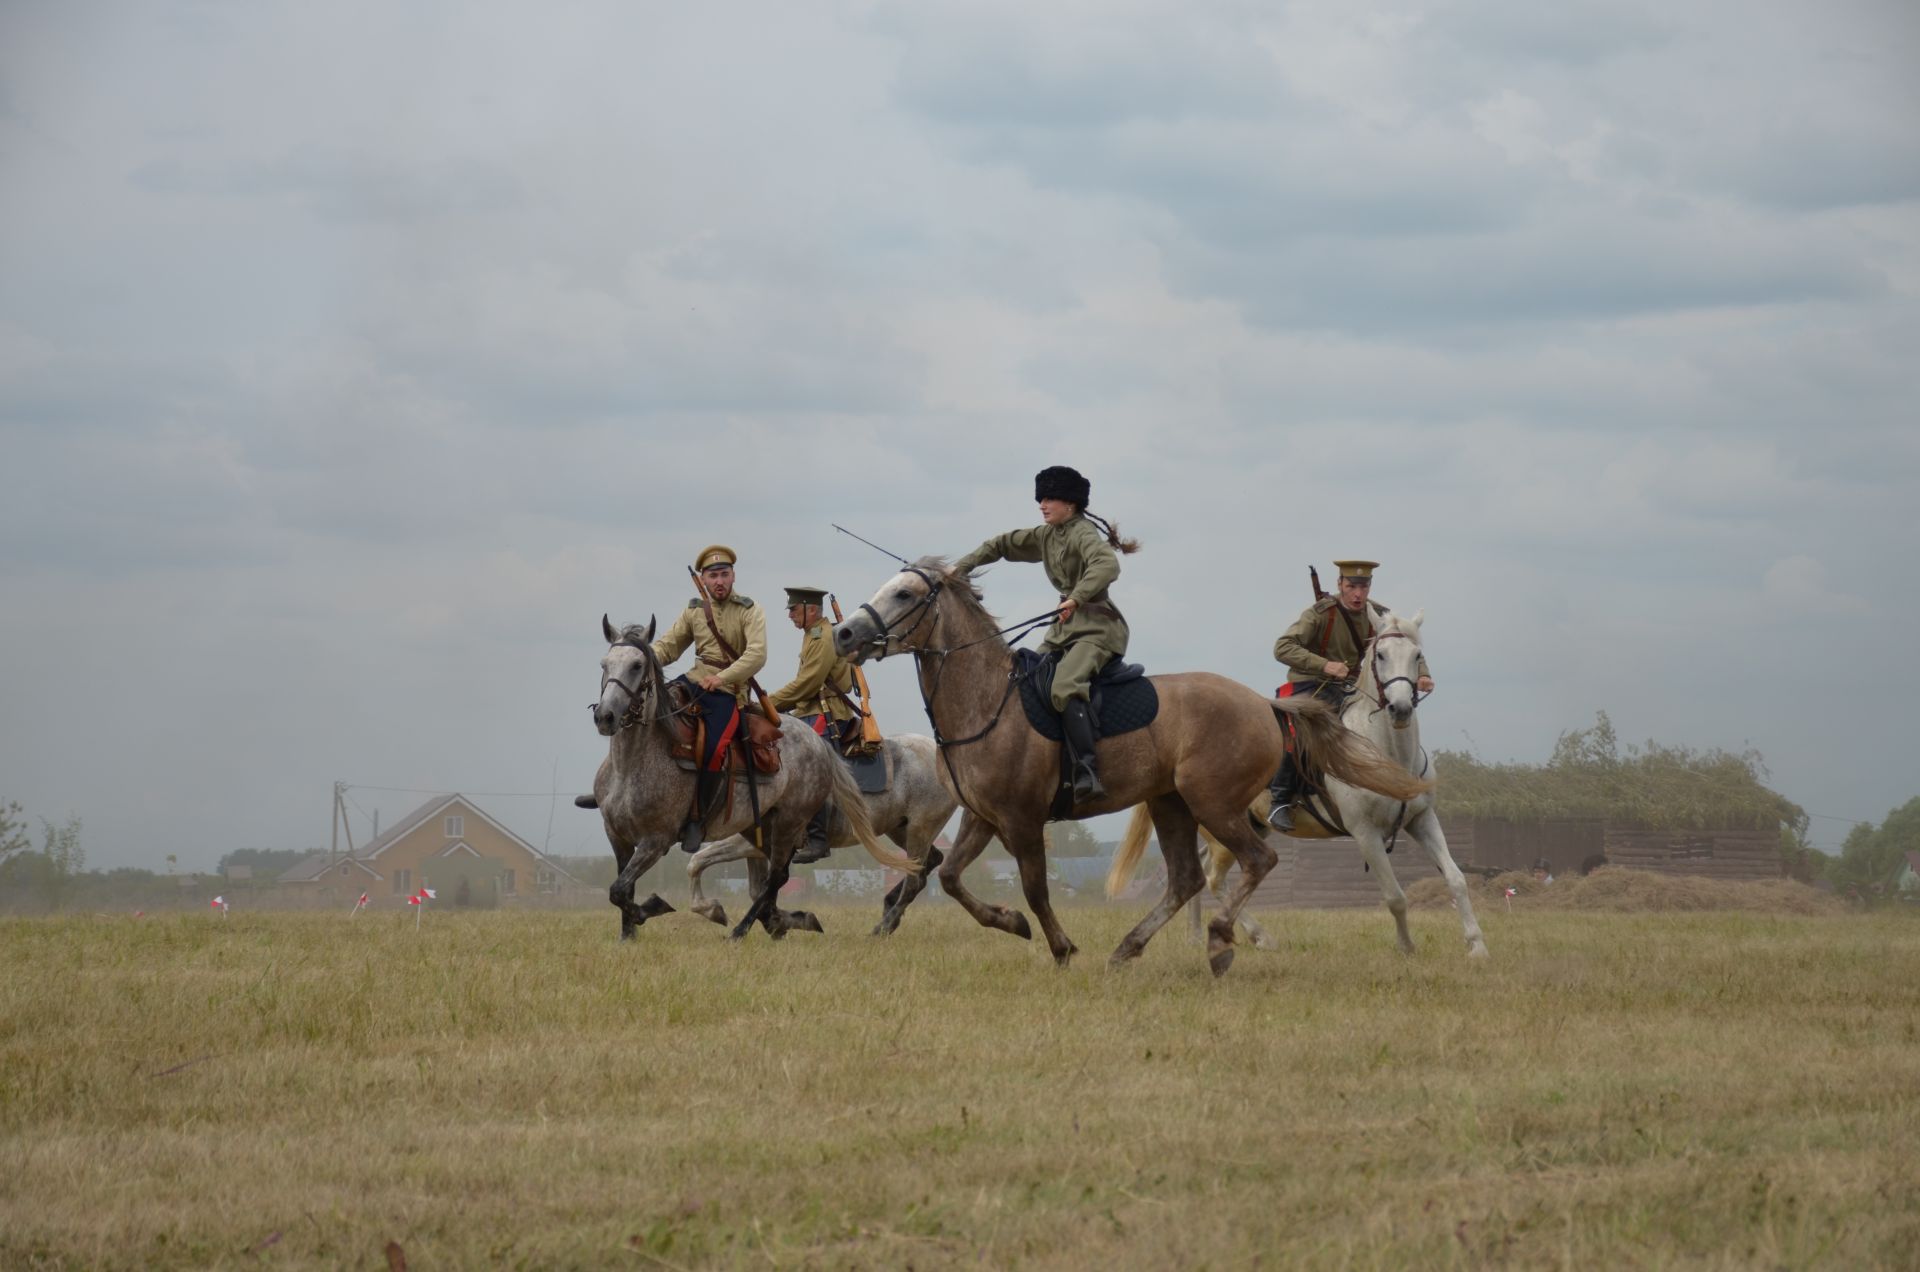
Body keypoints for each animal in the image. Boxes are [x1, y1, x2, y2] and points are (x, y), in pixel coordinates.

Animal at [583, 618, 913, 945]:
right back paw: (786, 921)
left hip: (791, 824)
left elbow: (620, 889)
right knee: (775, 879)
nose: (605, 716)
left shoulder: (657, 840)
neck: (630, 766)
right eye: (604, 664)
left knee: (779, 876)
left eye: (637, 665)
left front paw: (654, 908)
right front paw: (628, 934)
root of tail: (818, 743)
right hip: (767, 828)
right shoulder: (617, 837)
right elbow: (623, 888)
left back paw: (745, 930)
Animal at [687, 726, 960, 937]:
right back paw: (889, 909)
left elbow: (700, 862)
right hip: (901, 829)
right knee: (929, 864)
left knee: (915, 880)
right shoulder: (755, 845)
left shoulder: (761, 840)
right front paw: (778, 922)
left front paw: (719, 913)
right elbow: (754, 886)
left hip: (920, 828)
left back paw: (882, 927)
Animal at [833, 561, 1436, 976]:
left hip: (1213, 804)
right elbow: (953, 879)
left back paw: (1218, 941)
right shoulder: (983, 818)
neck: (987, 702)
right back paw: (1129, 947)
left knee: (1254, 862)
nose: (844, 635)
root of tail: (1264, 704)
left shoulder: (1022, 821)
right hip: (1171, 803)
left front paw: (1060, 947)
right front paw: (1012, 924)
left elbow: (1036, 889)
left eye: (904, 593)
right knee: (1188, 878)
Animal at [1105, 607, 1489, 956]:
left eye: (1417, 655)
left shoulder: (1422, 820)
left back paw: (1203, 934)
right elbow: (1395, 896)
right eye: (1380, 655)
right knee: (1215, 879)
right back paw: (1255, 936)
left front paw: (1476, 945)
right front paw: (1406, 947)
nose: (1400, 708)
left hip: (1244, 828)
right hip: (1220, 830)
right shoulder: (1365, 833)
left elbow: (1456, 879)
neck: (1388, 754)